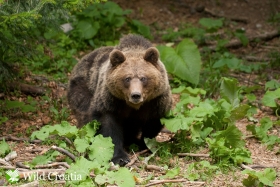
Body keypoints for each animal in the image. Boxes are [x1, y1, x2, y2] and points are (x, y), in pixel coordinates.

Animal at [68, 34, 173, 166]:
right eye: (127, 78)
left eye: (143, 78)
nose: (136, 95)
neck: (134, 106)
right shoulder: (111, 100)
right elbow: (109, 128)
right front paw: (120, 157)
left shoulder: (156, 101)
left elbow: (152, 125)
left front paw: (144, 144)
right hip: (82, 90)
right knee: (86, 117)